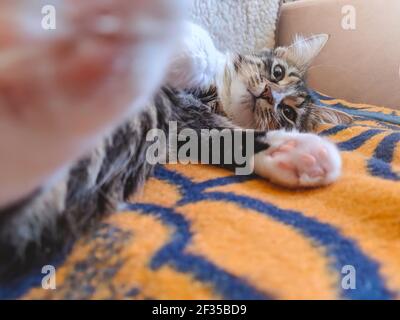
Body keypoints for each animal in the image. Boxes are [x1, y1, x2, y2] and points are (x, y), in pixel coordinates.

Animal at [0, 5, 350, 280]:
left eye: (288, 112)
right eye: (277, 72)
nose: (267, 93)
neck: (215, 96)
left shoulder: (185, 124)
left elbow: (224, 137)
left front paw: (296, 153)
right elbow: (202, 48)